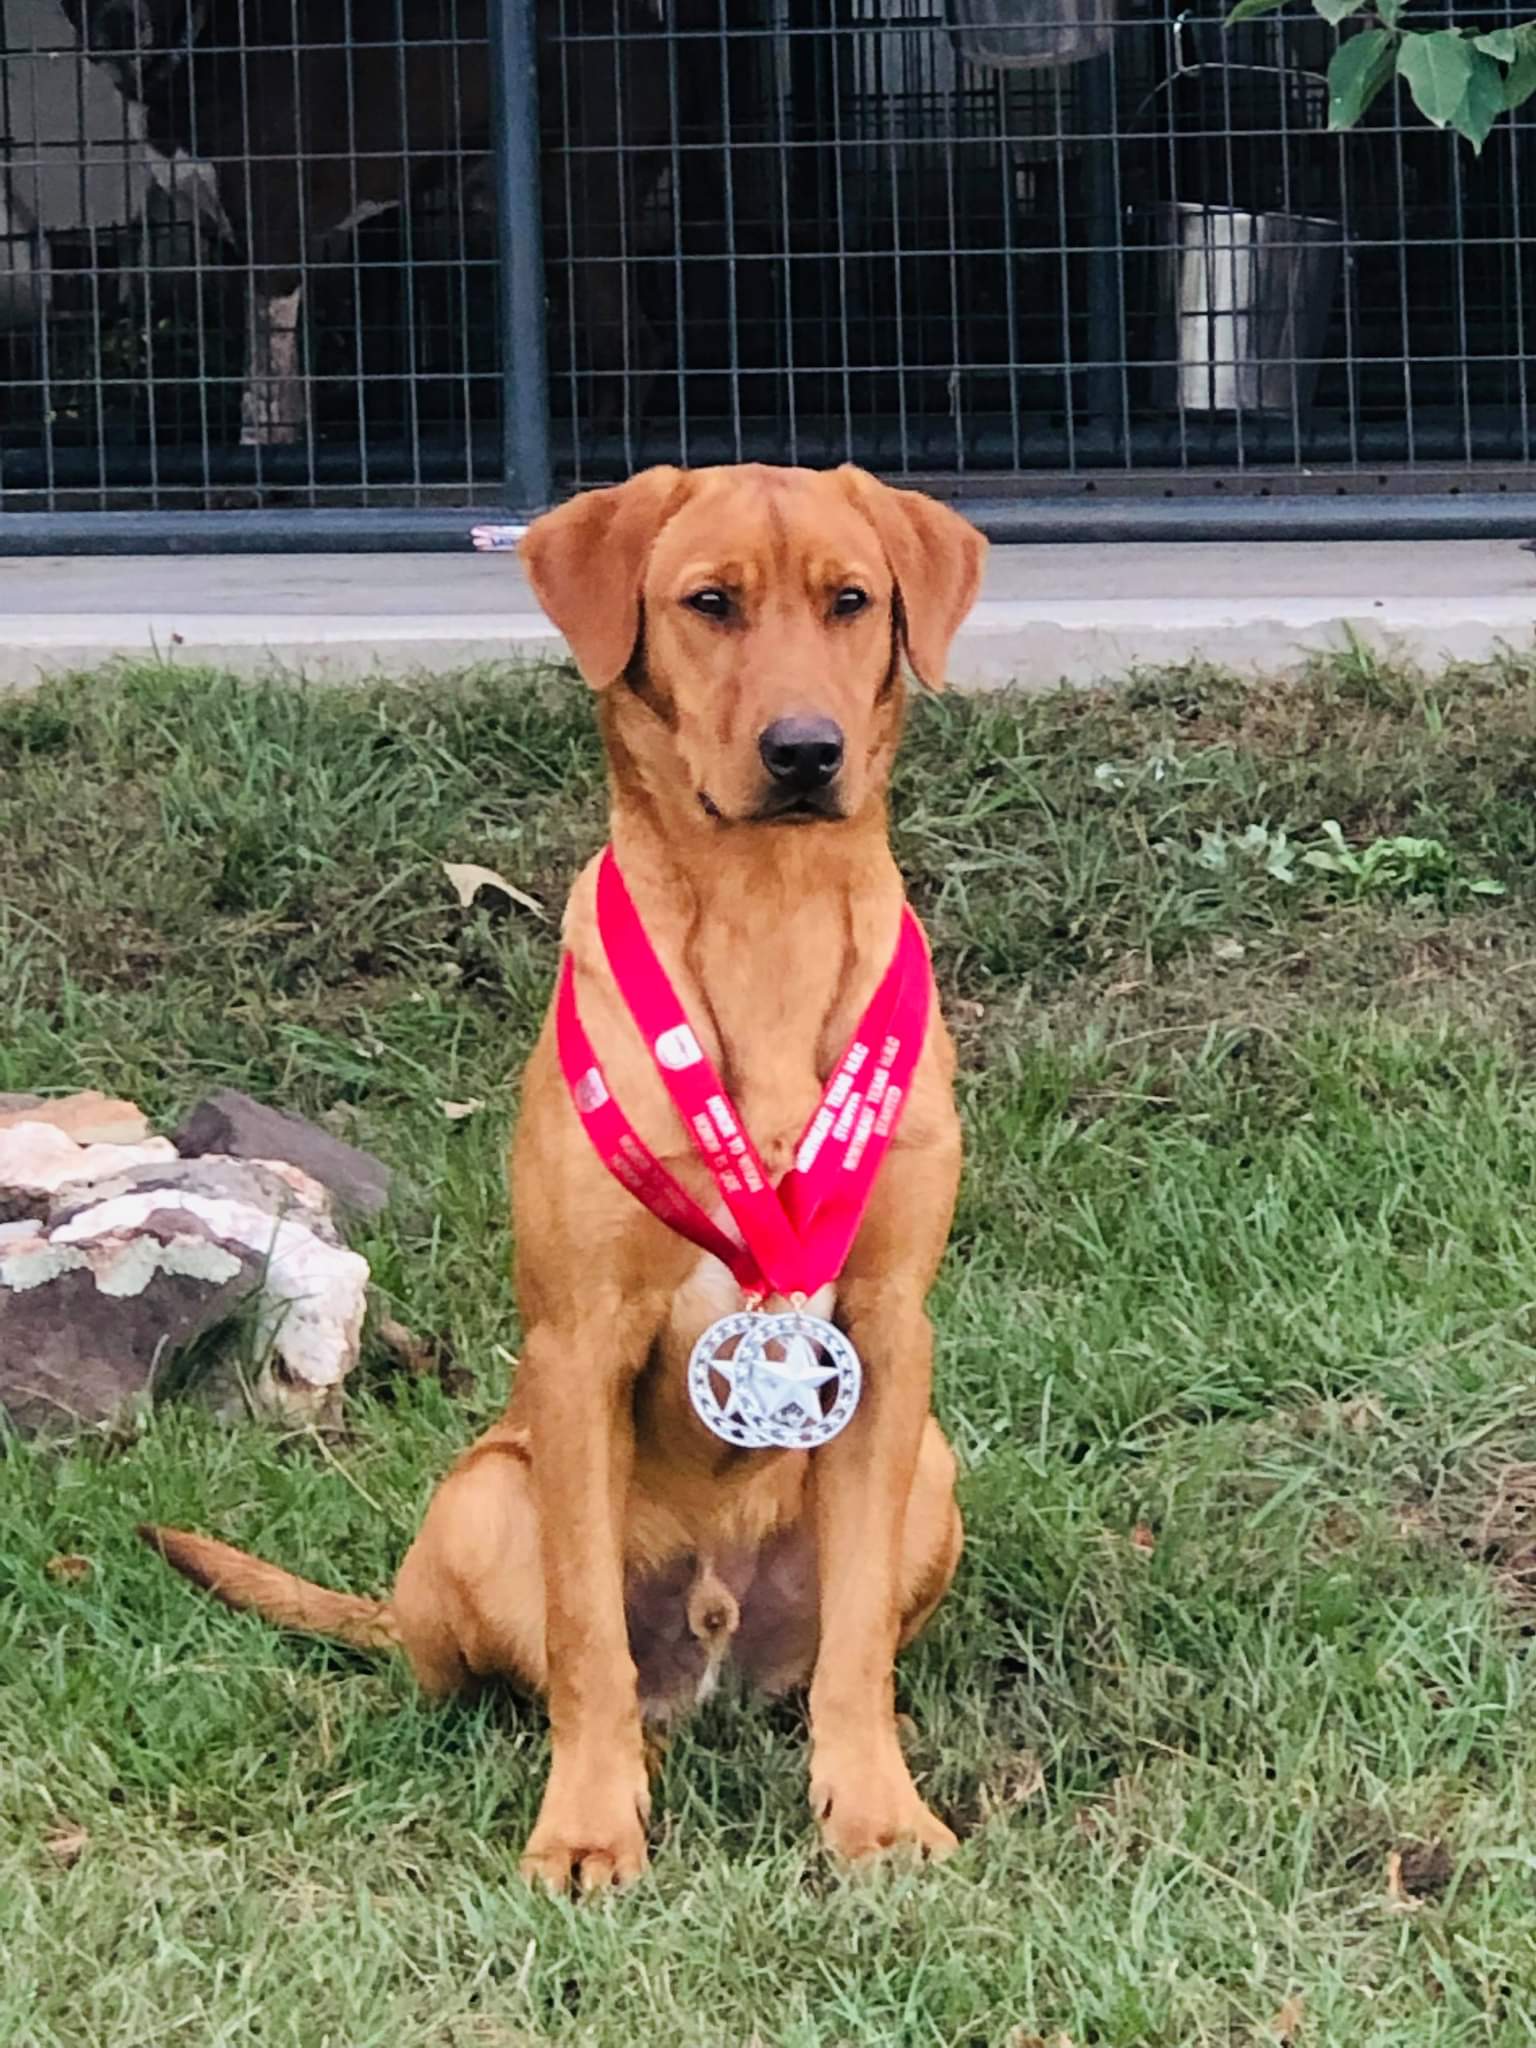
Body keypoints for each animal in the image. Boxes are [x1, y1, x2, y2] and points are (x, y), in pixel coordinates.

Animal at [144, 460, 987, 1884]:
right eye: (710, 602)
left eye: (851, 600)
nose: (805, 750)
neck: (762, 911)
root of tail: (710, 1648)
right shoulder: (582, 1340)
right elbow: (587, 1632)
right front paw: (589, 1827)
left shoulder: (885, 1330)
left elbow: (861, 1644)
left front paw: (874, 1810)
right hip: (486, 1493)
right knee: (506, 1665)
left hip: (928, 1463)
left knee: (826, 1649)